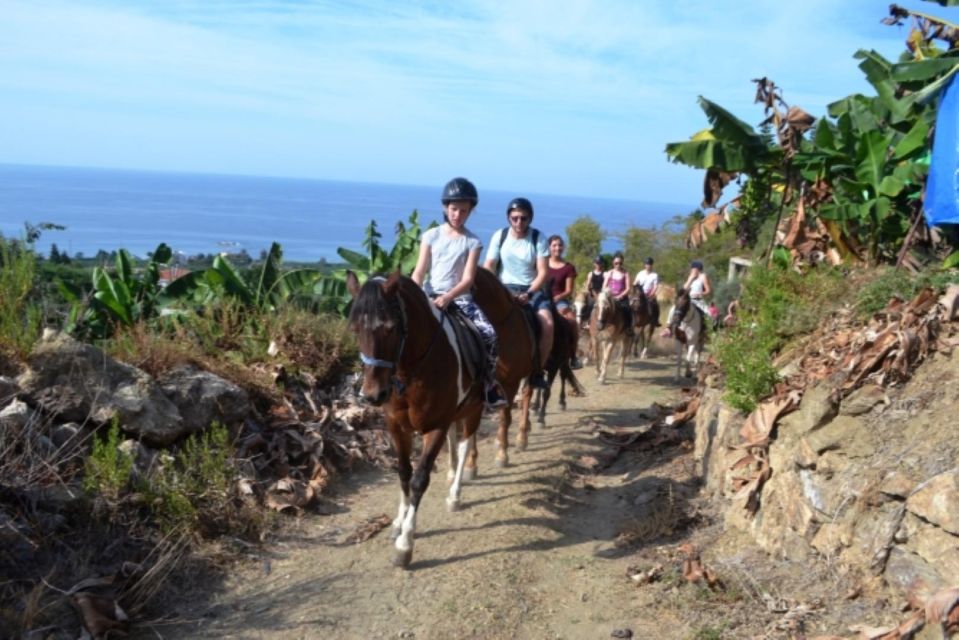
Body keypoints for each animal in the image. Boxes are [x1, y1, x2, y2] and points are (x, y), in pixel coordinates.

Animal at [344, 272, 484, 568]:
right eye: (355, 330)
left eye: (390, 328)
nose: (373, 395)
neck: (412, 370)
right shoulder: (397, 427)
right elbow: (404, 473)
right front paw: (399, 520)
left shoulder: (436, 426)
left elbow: (420, 479)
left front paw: (405, 544)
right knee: (455, 441)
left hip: (475, 407)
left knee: (465, 443)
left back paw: (455, 494)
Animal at [472, 268, 540, 468]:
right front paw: (471, 464)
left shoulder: (510, 382)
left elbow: (505, 417)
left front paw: (502, 455)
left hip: (530, 373)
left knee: (526, 396)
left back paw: (522, 437)